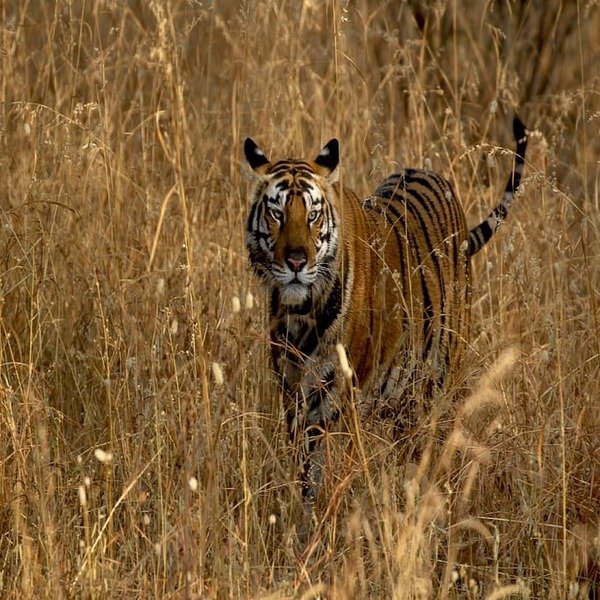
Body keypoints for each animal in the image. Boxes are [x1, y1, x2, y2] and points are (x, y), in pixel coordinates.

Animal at [241, 116, 528, 516]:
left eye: (312, 215)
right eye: (276, 214)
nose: (296, 262)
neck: (301, 313)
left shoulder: (335, 397)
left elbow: (321, 472)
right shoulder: (292, 392)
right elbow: (304, 470)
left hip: (437, 387)